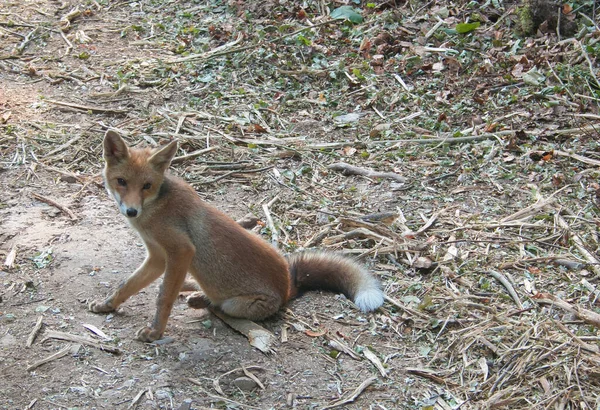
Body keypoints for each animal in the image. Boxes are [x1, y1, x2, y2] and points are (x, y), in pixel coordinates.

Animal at [89, 131, 384, 342]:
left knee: (218, 307)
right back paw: (193, 288)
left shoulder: (181, 251)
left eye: (147, 186)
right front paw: (107, 305)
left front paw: (155, 332)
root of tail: (289, 286)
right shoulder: (159, 257)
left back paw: (201, 299)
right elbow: (127, 285)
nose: (131, 211)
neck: (155, 210)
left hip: (234, 303)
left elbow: (164, 298)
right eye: (121, 182)